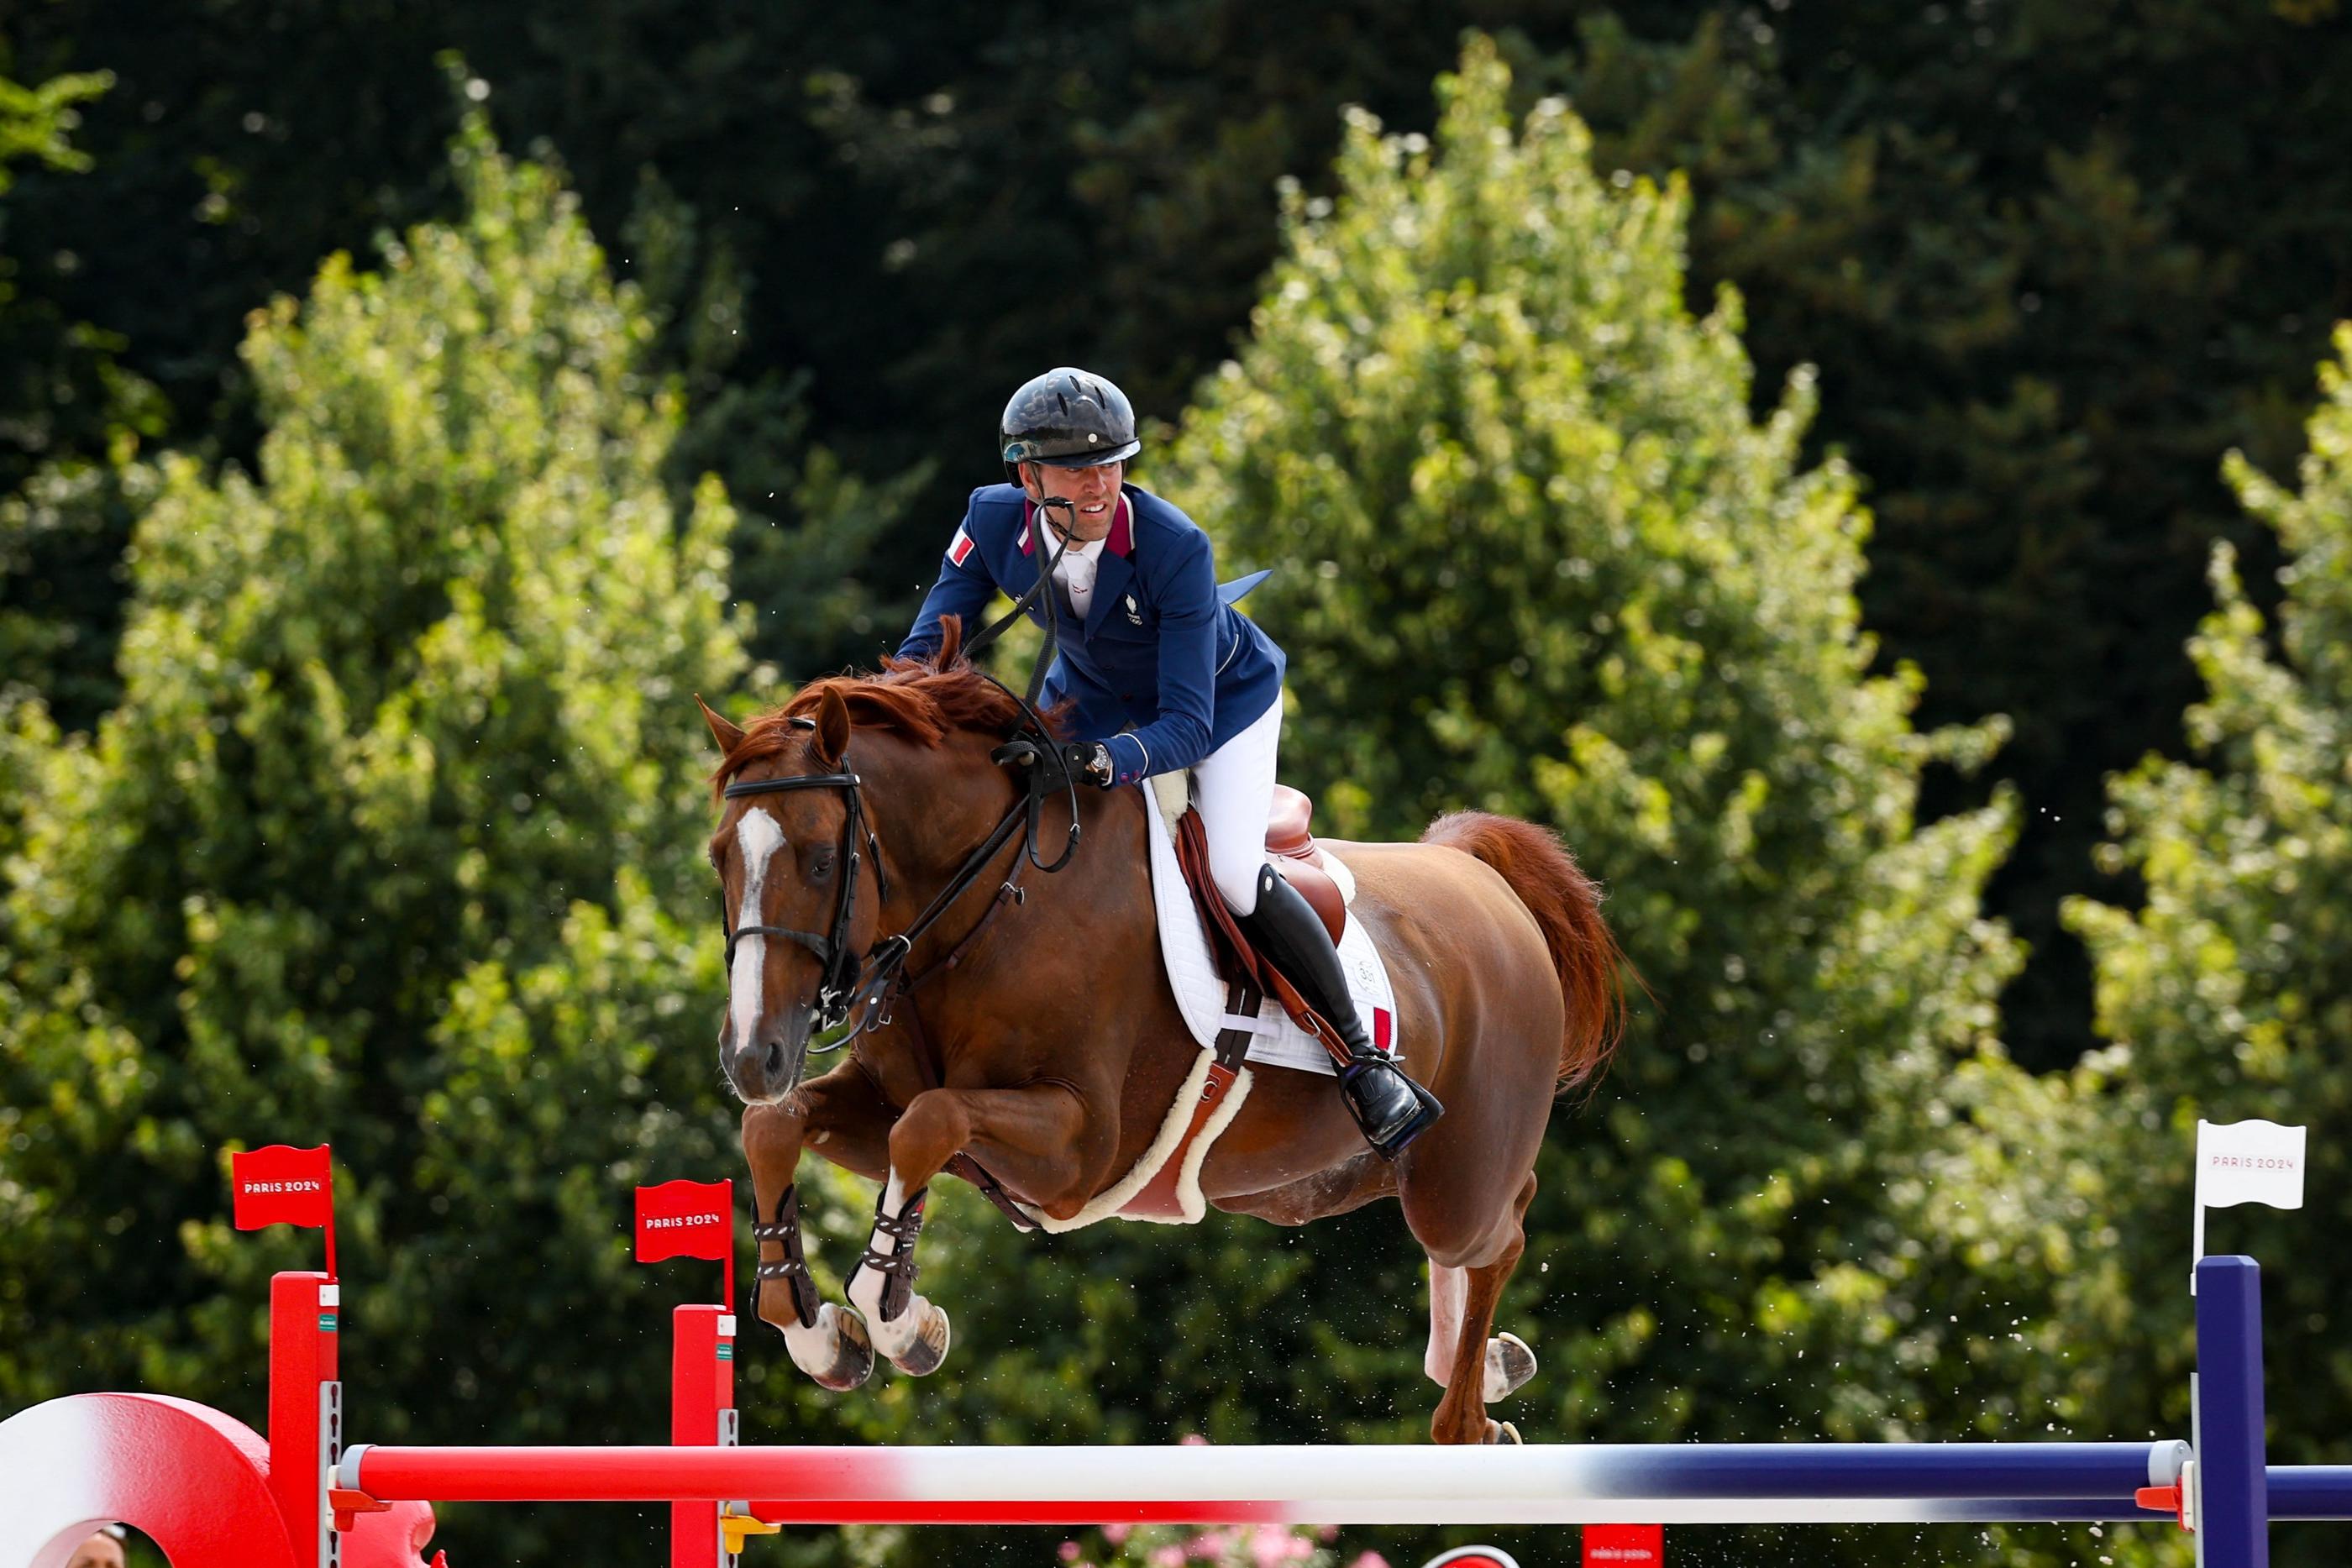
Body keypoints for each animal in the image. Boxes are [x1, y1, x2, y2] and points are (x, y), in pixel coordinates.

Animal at [696, 625, 1618, 1448]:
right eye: (720, 859)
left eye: (821, 859)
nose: (752, 1056)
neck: (987, 903)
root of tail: (1479, 876)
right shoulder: (887, 1103)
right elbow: (783, 1126)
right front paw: (821, 1329)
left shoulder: (1080, 1150)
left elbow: (928, 1123)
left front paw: (893, 1315)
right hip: (1317, 1181)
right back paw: (1484, 1363)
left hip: (1452, 1185)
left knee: (1502, 1228)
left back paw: (1470, 1412)